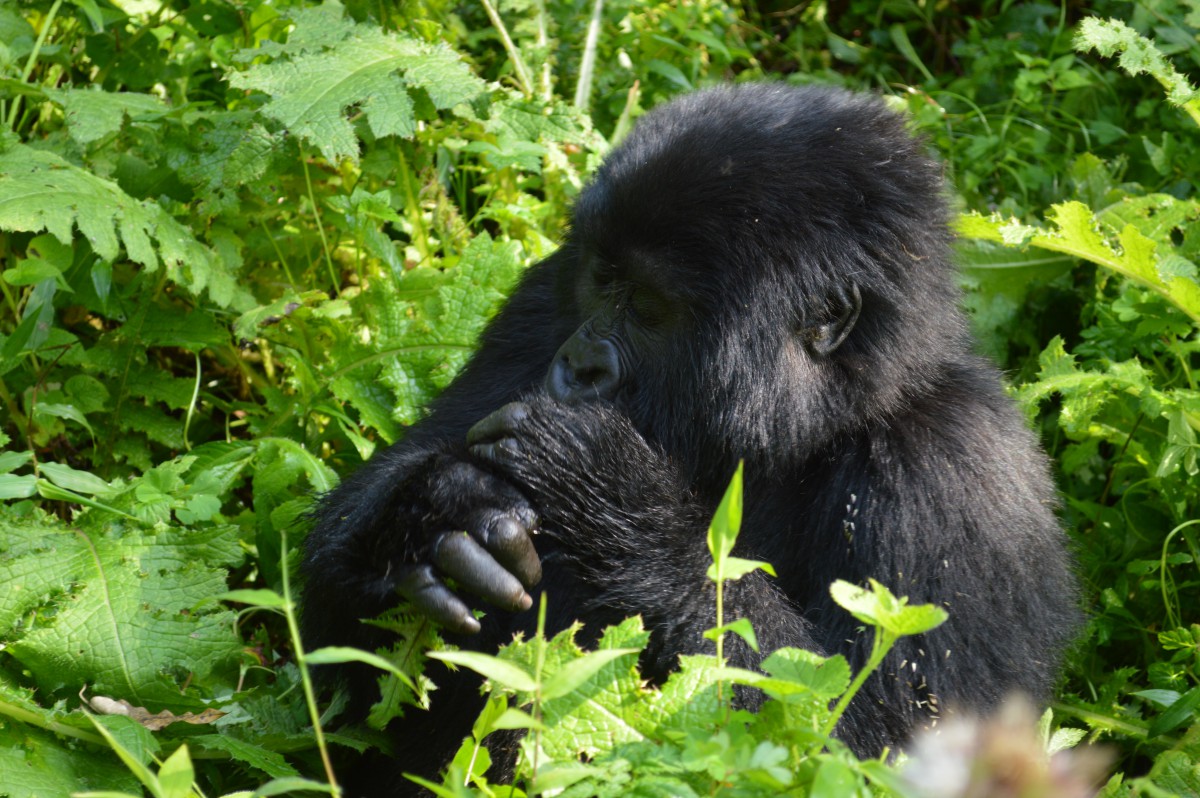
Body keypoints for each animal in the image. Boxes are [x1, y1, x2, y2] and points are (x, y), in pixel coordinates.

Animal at [300, 82, 1080, 792]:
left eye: (648, 307)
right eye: (601, 279)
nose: (578, 367)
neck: (814, 421)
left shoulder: (949, 469)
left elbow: (866, 745)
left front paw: (614, 495)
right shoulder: (540, 296)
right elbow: (330, 623)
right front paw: (435, 505)